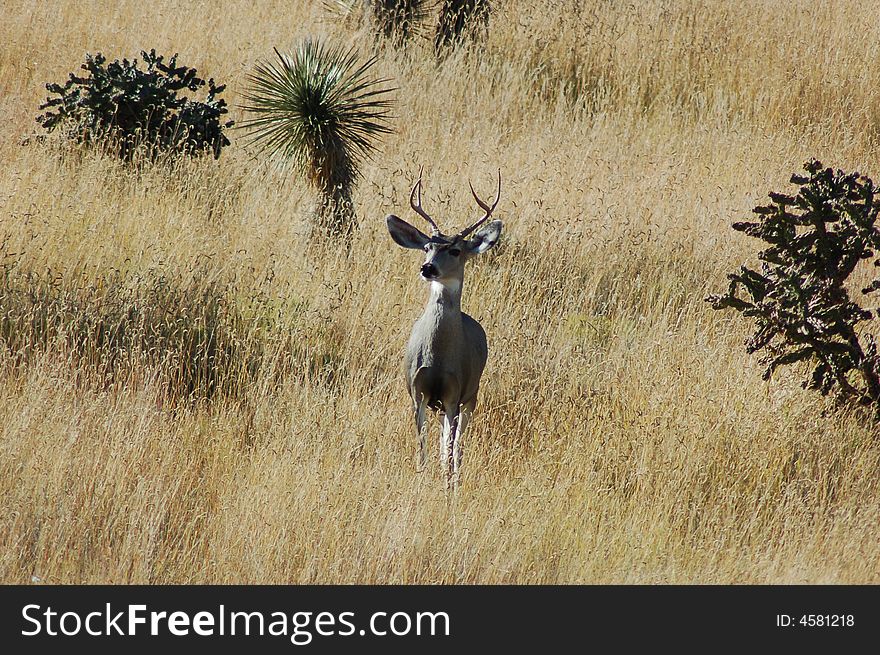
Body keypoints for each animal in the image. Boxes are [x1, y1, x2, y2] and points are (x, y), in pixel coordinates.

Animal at [386, 169, 502, 486]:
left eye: (455, 250)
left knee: (458, 440)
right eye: (427, 246)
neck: (438, 357)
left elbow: (451, 445)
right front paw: (421, 476)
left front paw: (449, 482)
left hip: (472, 393)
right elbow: (422, 443)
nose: (428, 268)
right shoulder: (418, 391)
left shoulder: (455, 391)